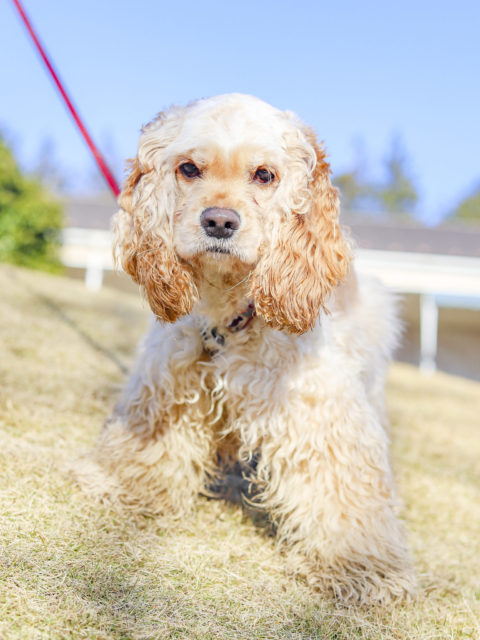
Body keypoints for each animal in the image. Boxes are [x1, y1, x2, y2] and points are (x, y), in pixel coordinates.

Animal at [77, 93, 416, 604]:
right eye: (189, 169)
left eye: (264, 175)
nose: (219, 221)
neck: (230, 316)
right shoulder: (168, 382)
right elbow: (148, 446)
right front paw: (126, 486)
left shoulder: (321, 410)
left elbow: (342, 487)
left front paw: (359, 567)